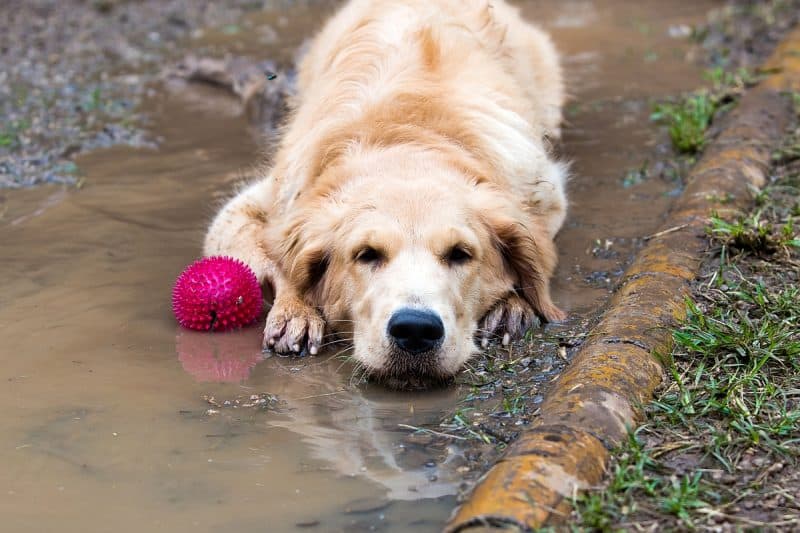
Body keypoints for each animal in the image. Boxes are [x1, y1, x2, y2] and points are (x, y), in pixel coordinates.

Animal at [206, 0, 568, 386]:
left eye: (461, 254)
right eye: (366, 255)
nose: (416, 330)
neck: (407, 139)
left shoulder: (546, 195)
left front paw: (510, 304)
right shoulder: (255, 206)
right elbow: (277, 259)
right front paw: (296, 310)